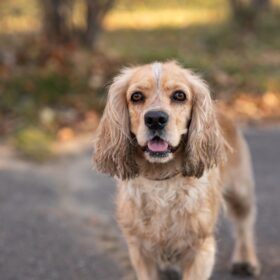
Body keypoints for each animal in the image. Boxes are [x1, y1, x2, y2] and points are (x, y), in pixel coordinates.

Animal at [94, 61, 260, 280]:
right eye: (136, 96)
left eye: (179, 95)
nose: (155, 118)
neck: (162, 180)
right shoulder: (140, 250)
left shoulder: (201, 249)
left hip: (241, 192)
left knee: (244, 225)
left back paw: (246, 260)